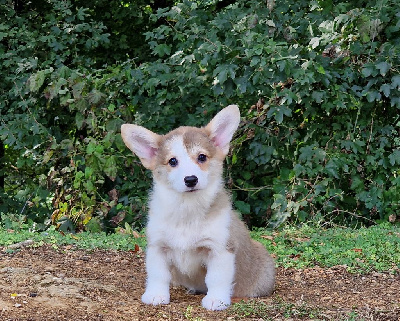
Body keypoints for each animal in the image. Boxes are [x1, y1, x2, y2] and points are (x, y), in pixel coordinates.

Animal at [121, 105, 276, 310]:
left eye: (202, 157)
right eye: (172, 161)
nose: (190, 179)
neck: (187, 209)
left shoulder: (219, 249)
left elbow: (217, 278)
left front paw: (216, 300)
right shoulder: (158, 247)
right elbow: (158, 274)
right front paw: (156, 295)